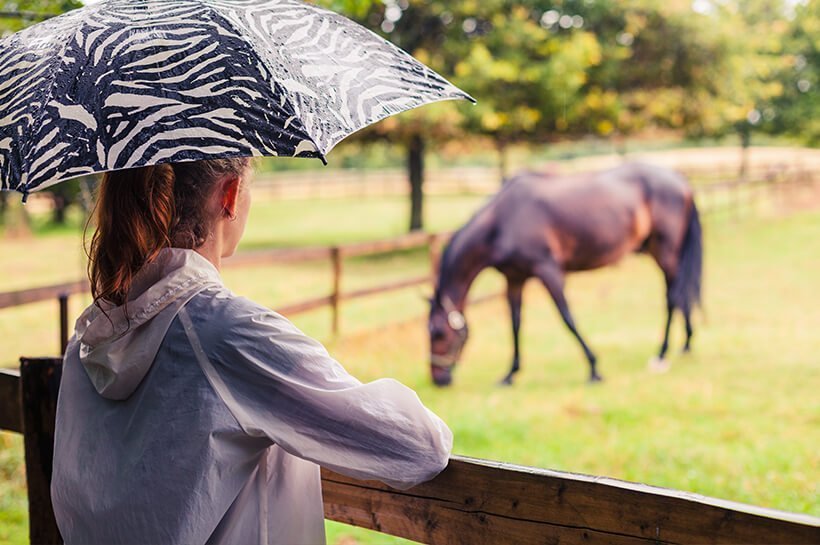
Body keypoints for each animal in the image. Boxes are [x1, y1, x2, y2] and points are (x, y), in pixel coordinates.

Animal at [426, 162, 700, 386]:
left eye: (438, 333)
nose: (438, 380)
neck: (502, 222)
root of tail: (681, 180)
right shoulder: (515, 279)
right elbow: (515, 323)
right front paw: (510, 374)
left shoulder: (548, 271)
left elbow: (567, 317)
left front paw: (593, 368)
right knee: (680, 294)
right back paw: (686, 344)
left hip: (665, 252)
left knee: (673, 297)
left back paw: (661, 354)